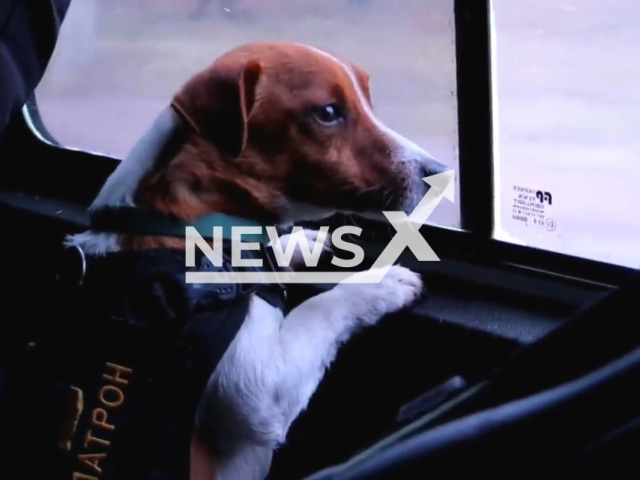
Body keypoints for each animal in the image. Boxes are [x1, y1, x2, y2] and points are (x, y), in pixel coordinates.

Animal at [65, 41, 444, 480]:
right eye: (328, 112)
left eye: (368, 99)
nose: (441, 173)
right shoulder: (262, 390)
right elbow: (320, 307)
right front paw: (381, 283)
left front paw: (301, 242)